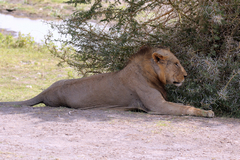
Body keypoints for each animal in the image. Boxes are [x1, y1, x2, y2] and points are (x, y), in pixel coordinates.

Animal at [0, 45, 214, 117]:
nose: (186, 76)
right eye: (176, 64)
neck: (151, 75)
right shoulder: (157, 106)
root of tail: (45, 91)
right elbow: (185, 107)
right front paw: (207, 112)